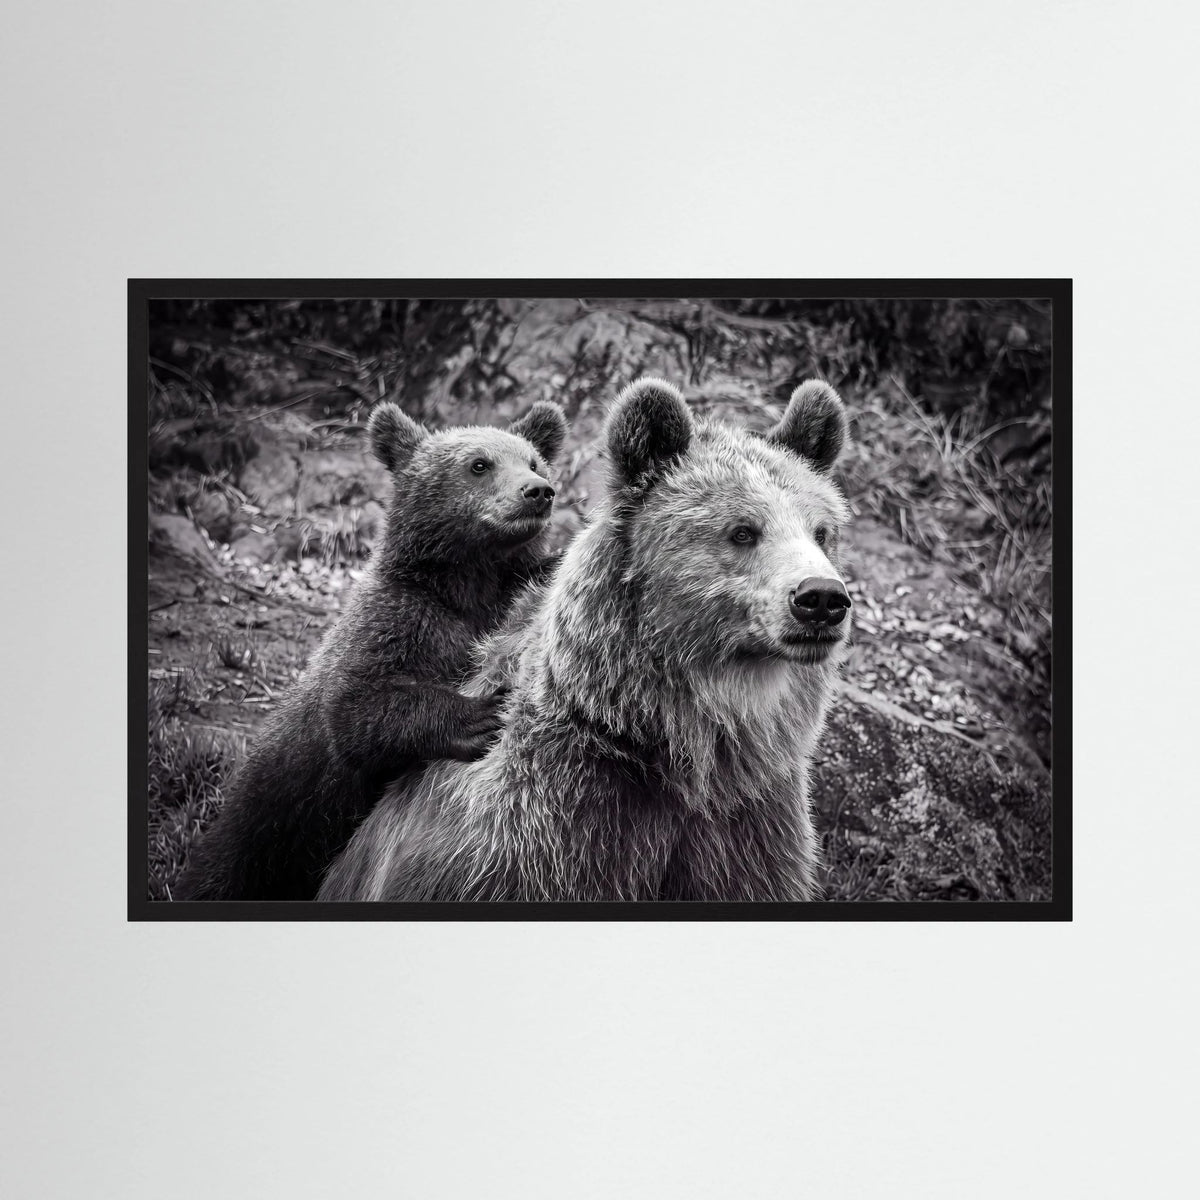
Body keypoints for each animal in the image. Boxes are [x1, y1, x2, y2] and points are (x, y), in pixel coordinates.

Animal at [174, 396, 569, 901]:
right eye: (480, 464)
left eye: (533, 460)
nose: (538, 491)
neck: (468, 584)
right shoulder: (398, 621)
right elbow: (356, 710)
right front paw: (479, 713)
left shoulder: (501, 599)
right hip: (268, 828)